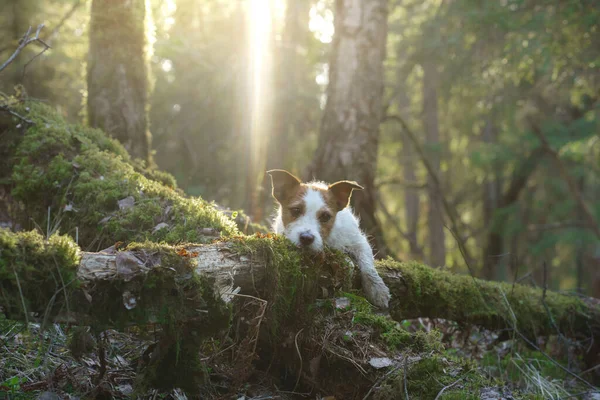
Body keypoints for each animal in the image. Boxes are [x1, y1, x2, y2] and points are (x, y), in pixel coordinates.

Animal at [268, 169, 392, 310]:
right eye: (295, 210)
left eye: (325, 216)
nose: (306, 238)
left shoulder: (359, 242)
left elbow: (368, 267)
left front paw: (378, 290)